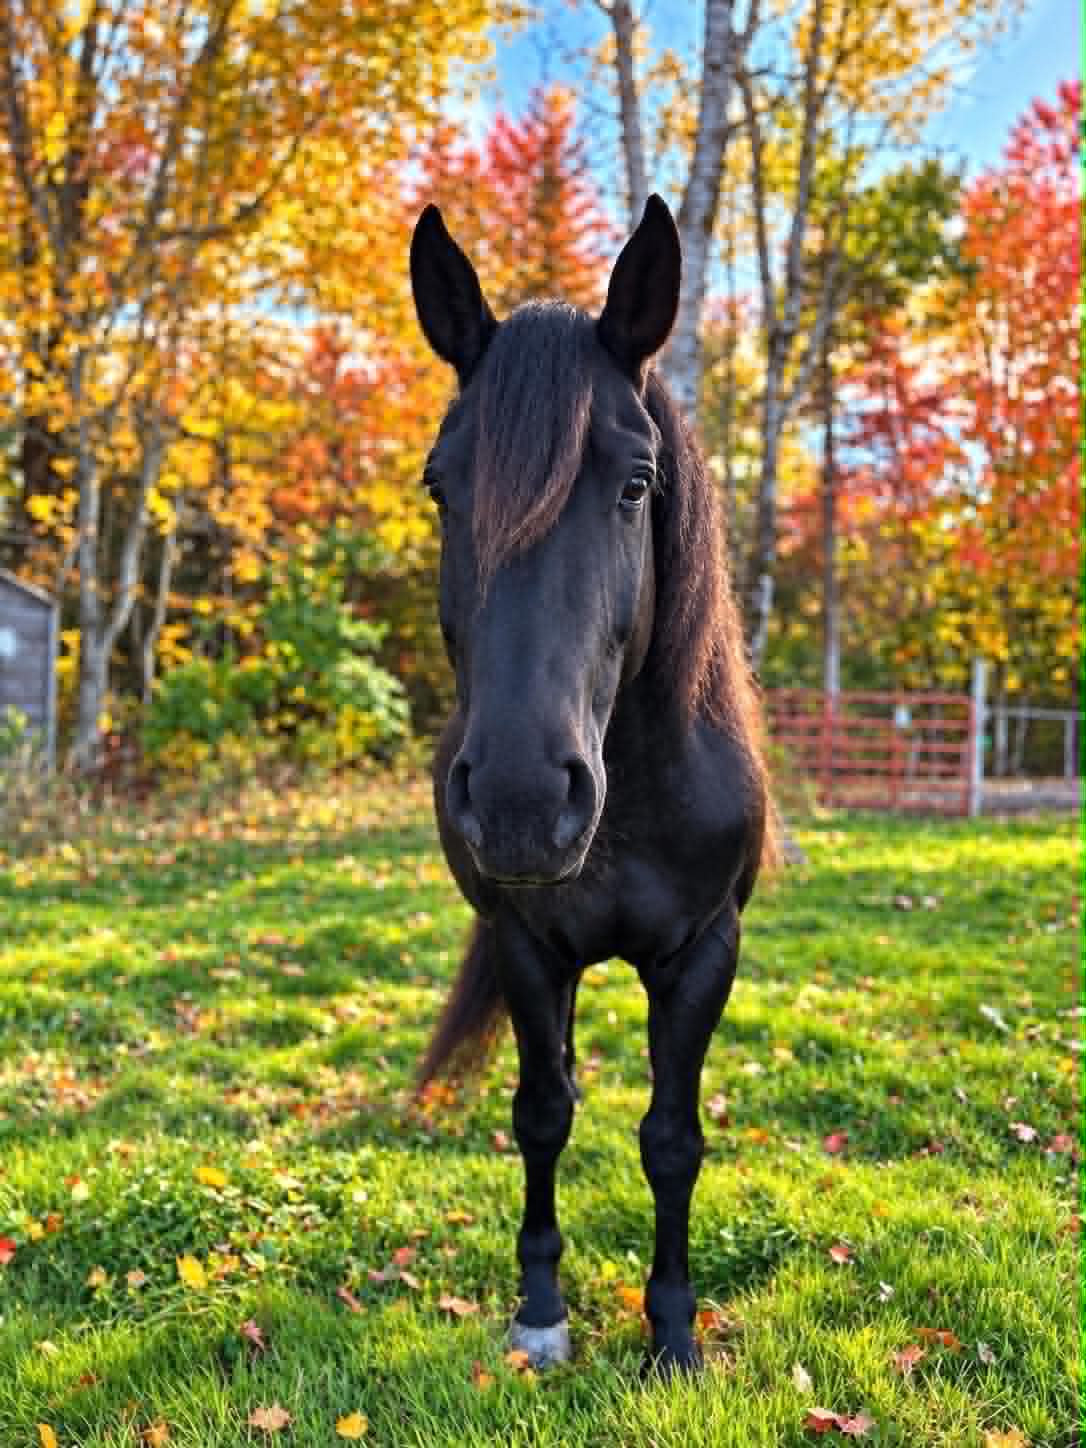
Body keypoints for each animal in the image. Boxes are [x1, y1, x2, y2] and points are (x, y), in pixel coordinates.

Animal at [409, 195, 776, 1377]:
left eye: (636, 483)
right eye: (441, 486)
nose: (523, 802)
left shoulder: (704, 951)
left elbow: (672, 1137)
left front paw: (673, 1331)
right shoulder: (529, 944)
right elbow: (542, 1112)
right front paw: (540, 1309)